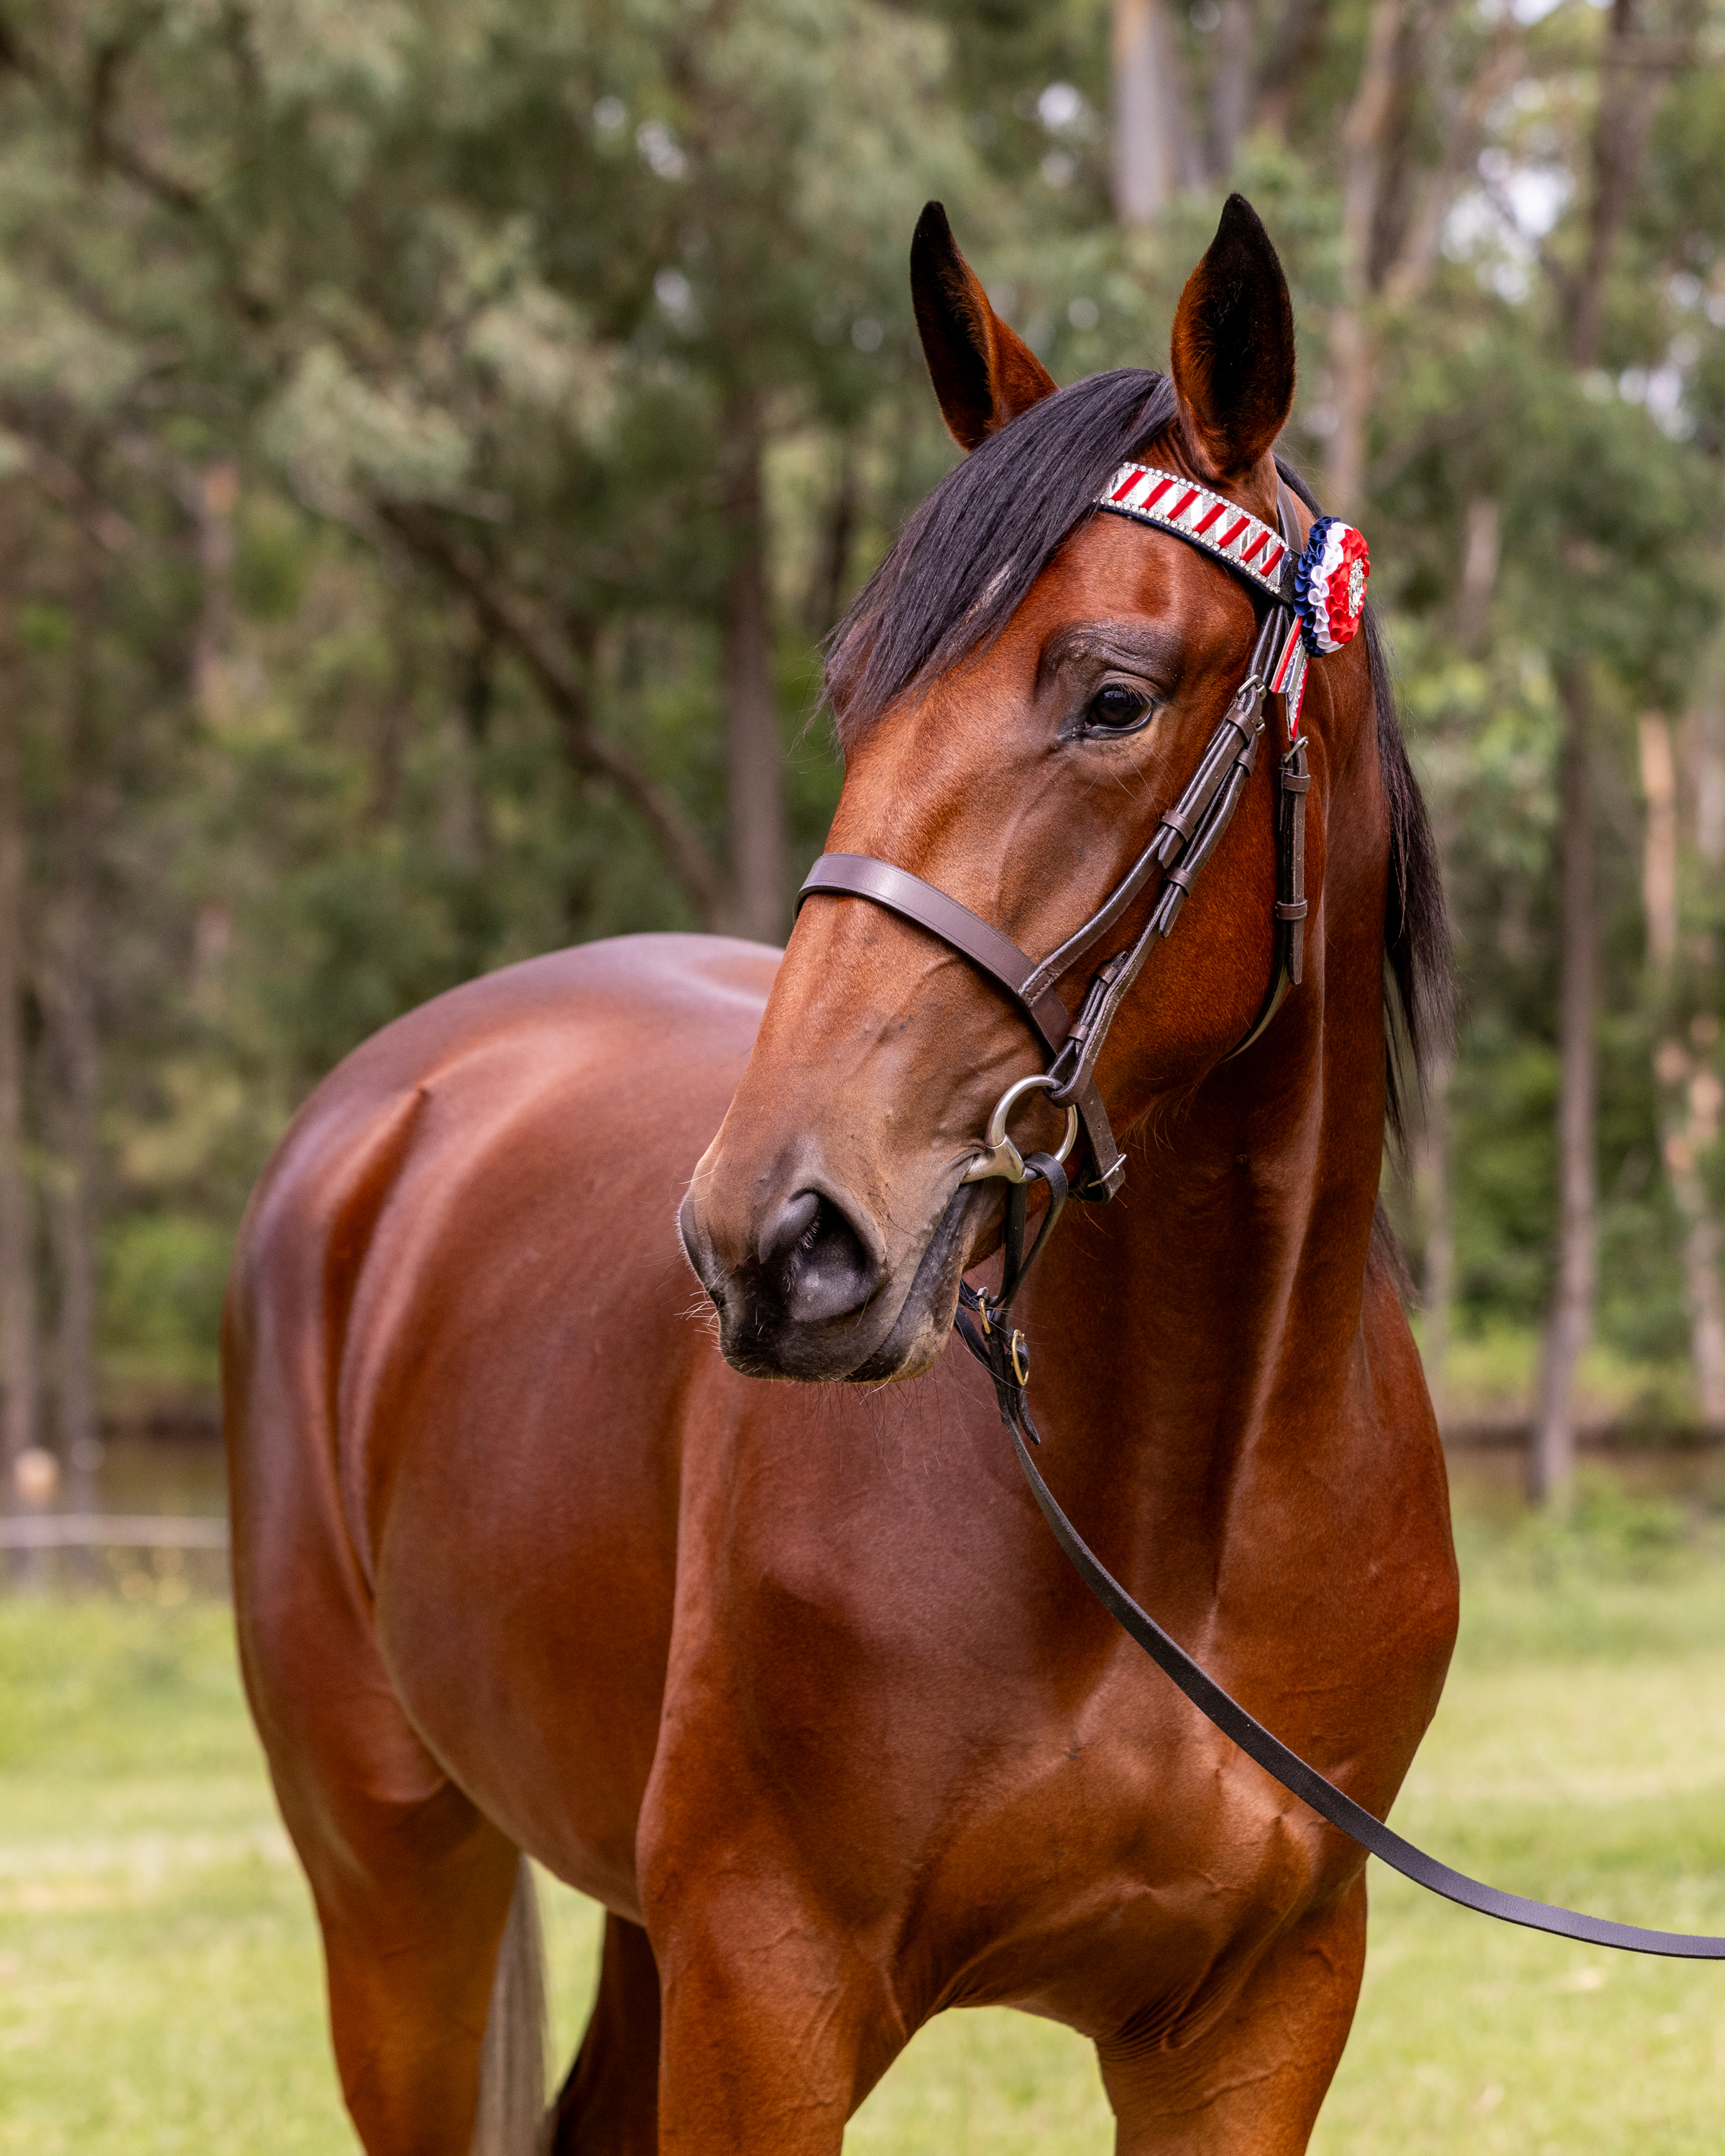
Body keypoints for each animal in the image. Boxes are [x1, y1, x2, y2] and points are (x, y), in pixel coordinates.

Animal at [224, 193, 1457, 2155]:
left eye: (1113, 696)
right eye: (855, 695)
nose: (773, 1241)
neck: (1166, 1511)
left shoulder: (1257, 2015)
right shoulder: (769, 1982)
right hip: (397, 1883)